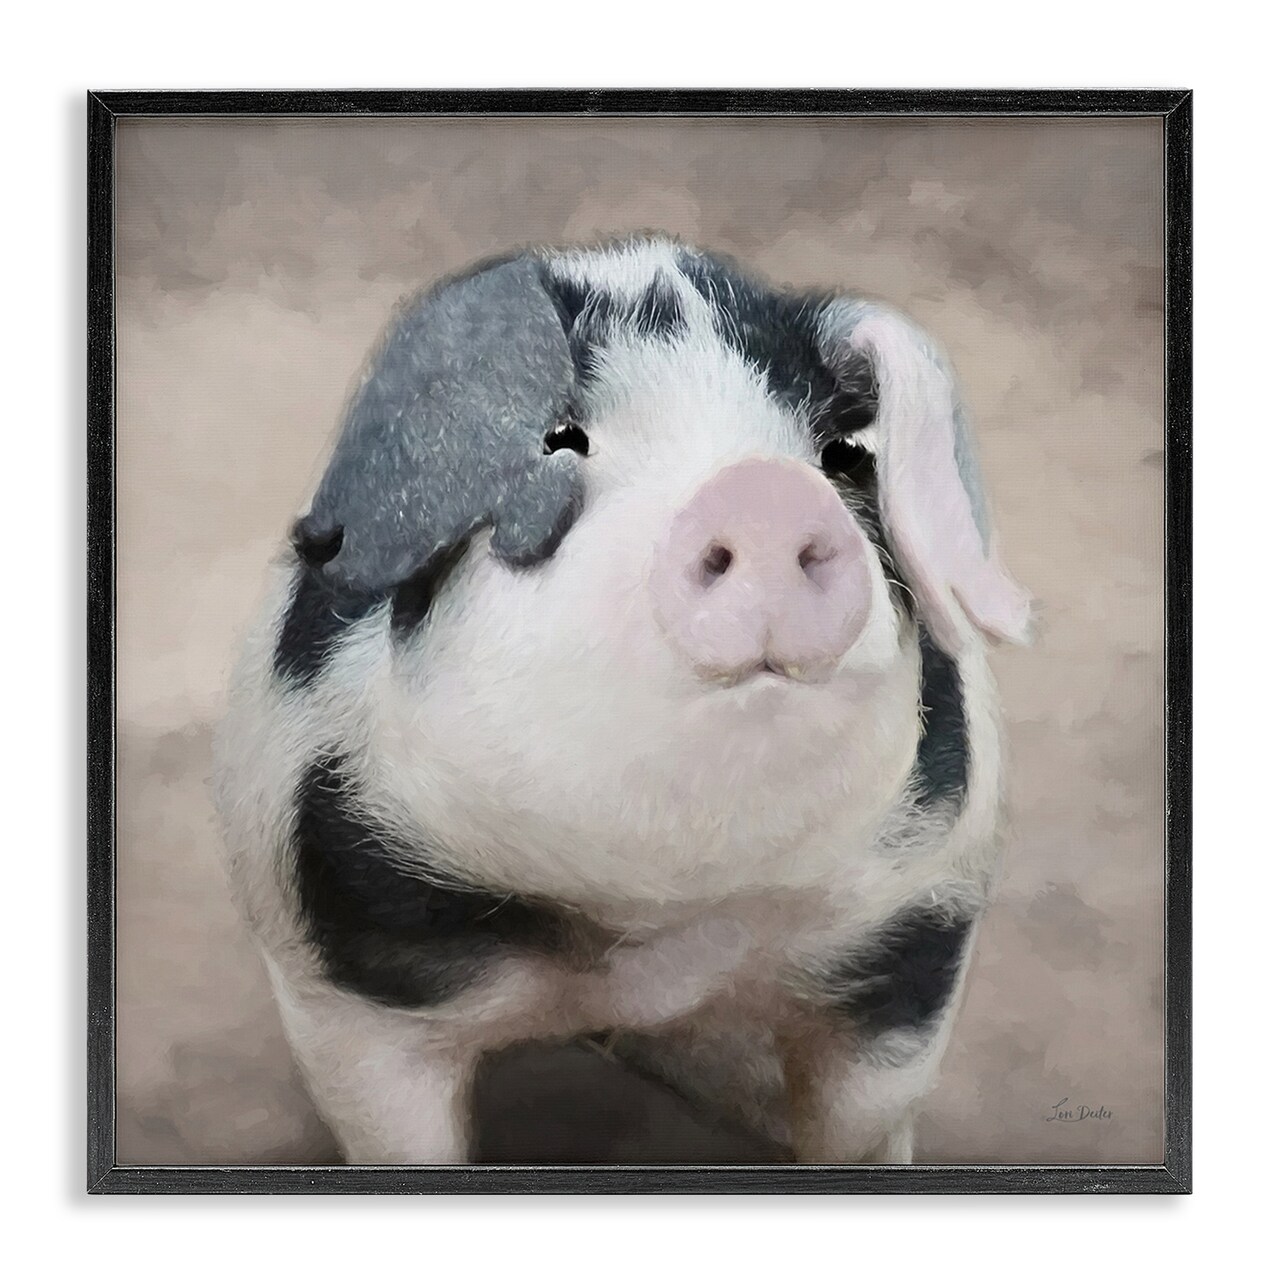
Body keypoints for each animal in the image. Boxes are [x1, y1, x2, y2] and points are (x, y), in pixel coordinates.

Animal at [213, 236, 1031, 1165]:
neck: (660, 934)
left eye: (838, 454)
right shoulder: (347, 982)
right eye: (563, 441)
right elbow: (400, 1135)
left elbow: (862, 1126)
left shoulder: (916, 935)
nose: (762, 493)